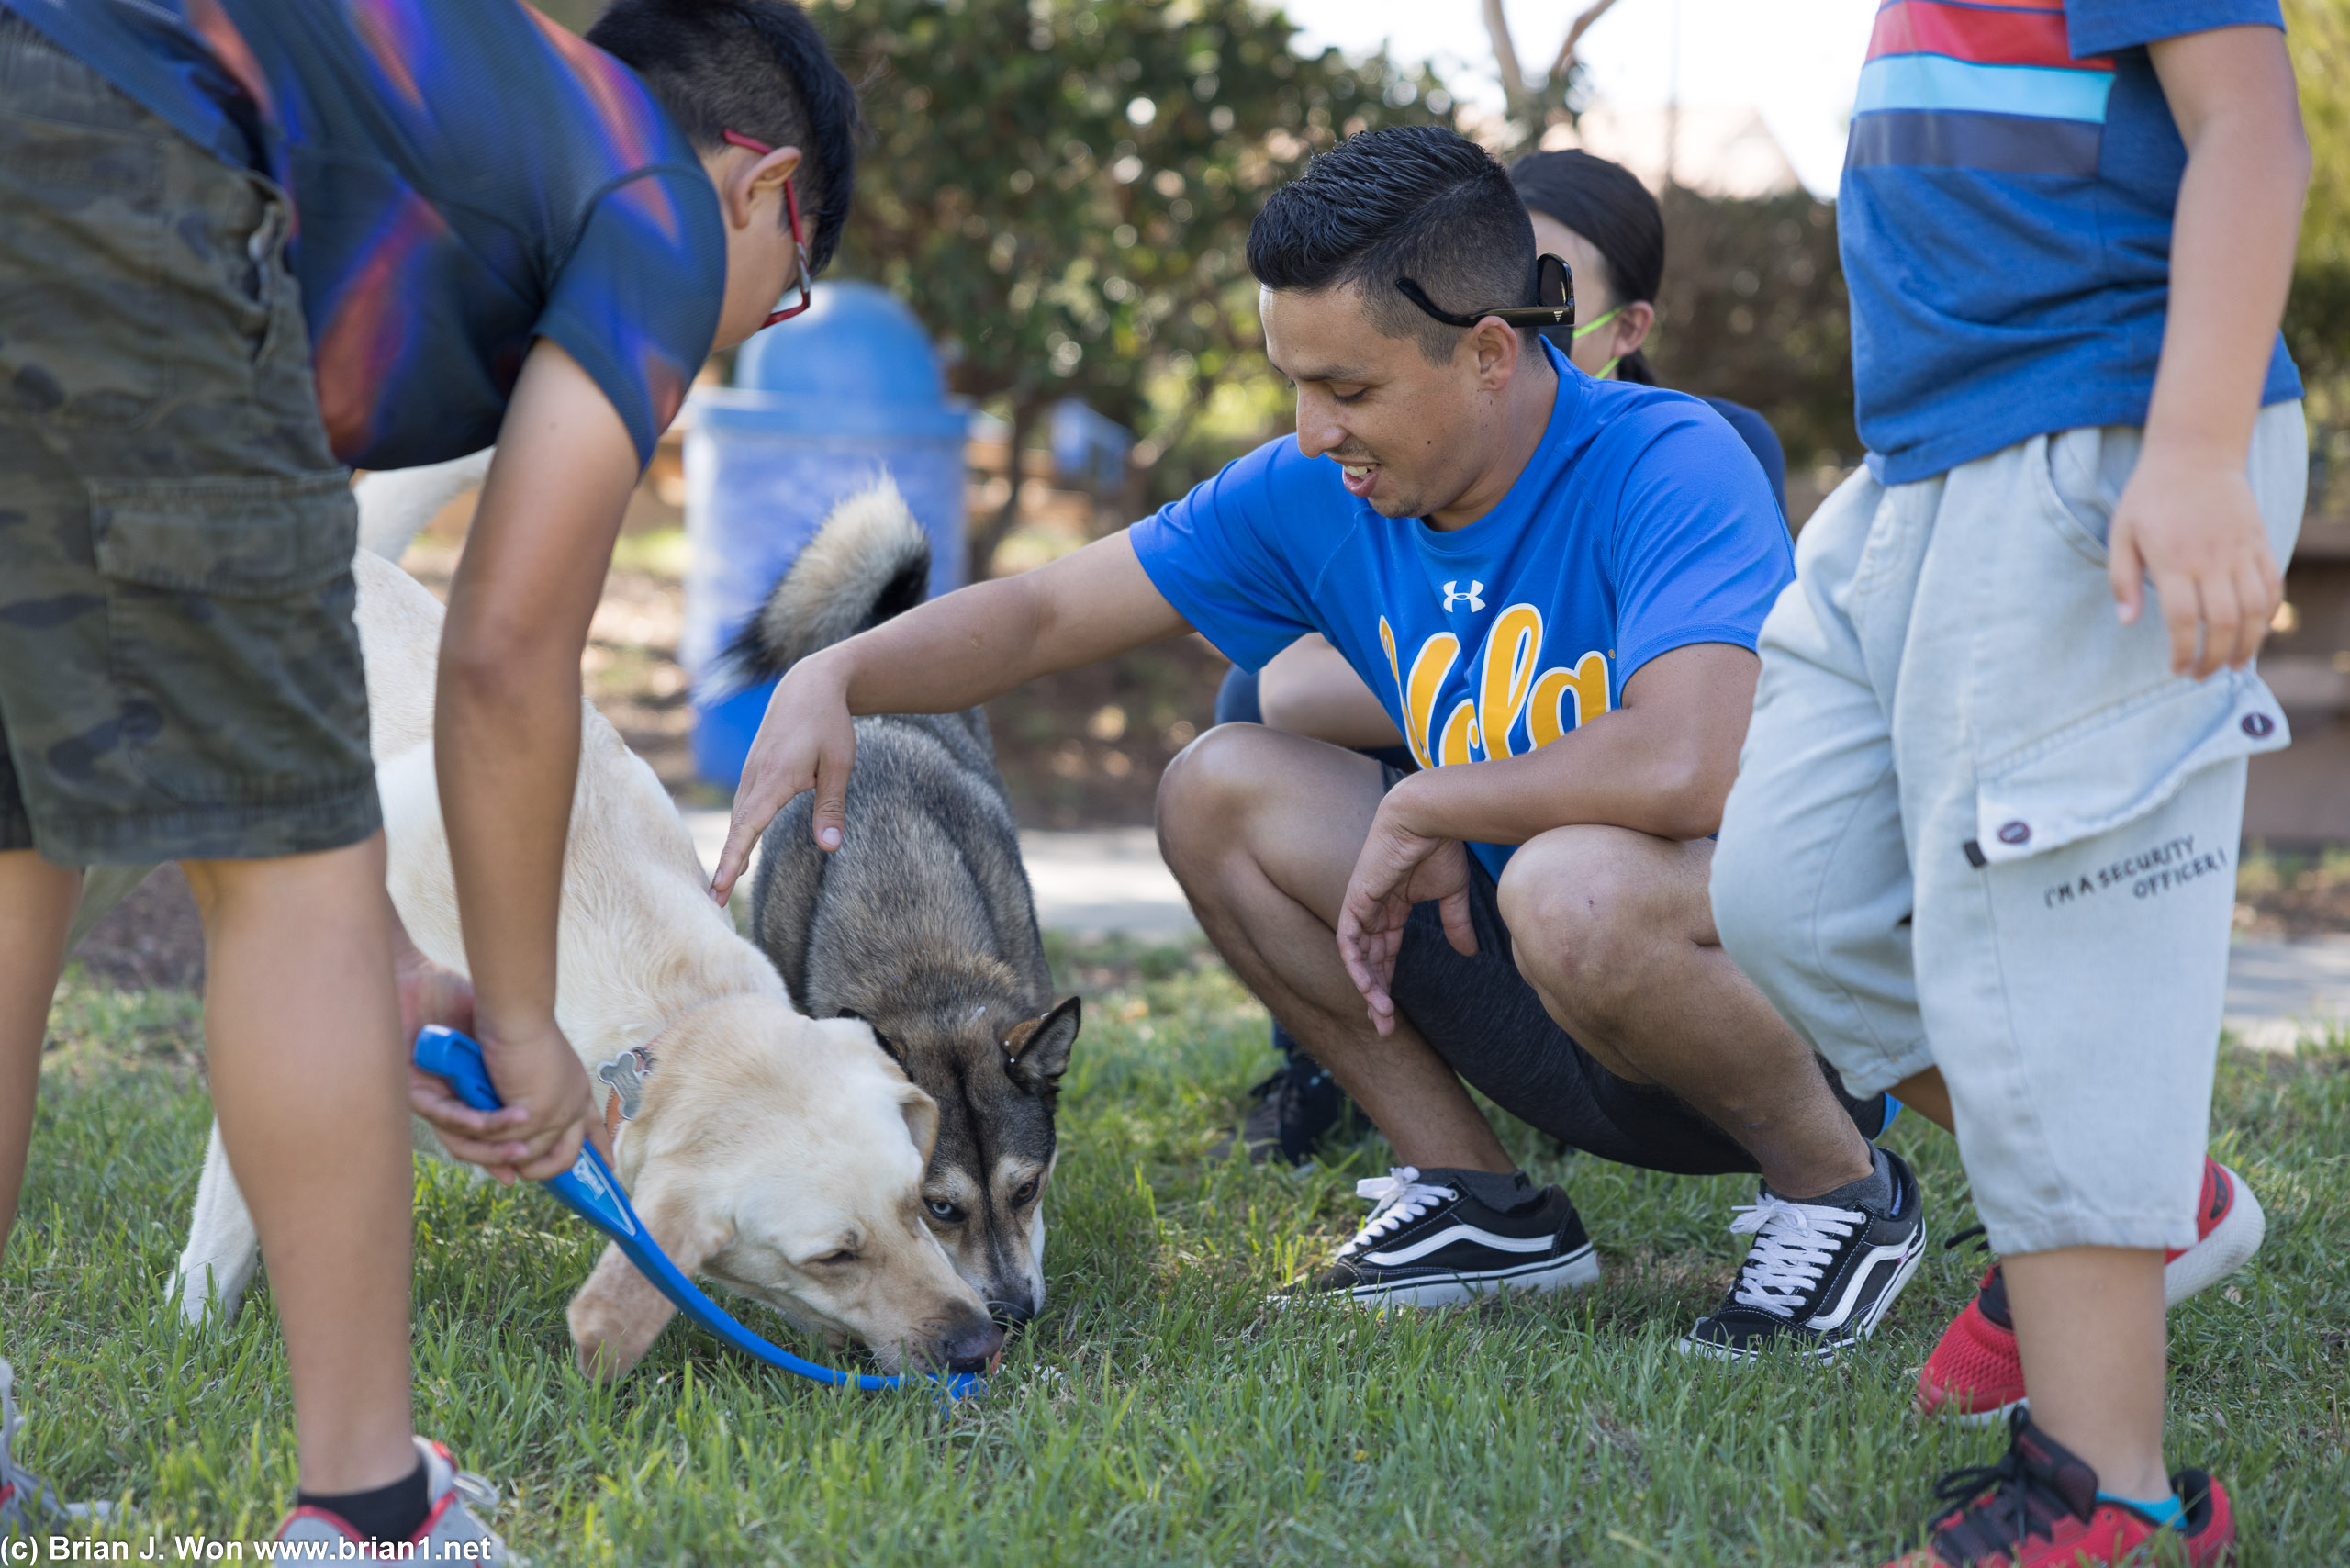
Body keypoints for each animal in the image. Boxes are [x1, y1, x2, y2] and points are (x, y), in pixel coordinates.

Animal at [135, 451, 1001, 1372]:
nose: (982, 1343)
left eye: (920, 1204)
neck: (664, 1010)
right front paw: (193, 1336)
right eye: (833, 1256)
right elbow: (230, 1235)